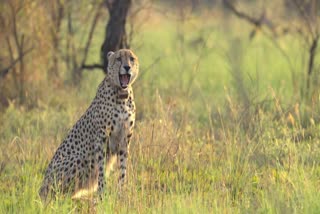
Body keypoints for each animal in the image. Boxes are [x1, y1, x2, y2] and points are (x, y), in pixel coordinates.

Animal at [39, 49, 139, 201]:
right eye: (118, 59)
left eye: (131, 58)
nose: (127, 67)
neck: (121, 95)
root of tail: (41, 187)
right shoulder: (102, 137)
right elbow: (101, 168)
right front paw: (102, 193)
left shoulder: (125, 138)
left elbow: (123, 169)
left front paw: (121, 193)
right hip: (79, 160)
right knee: (59, 195)